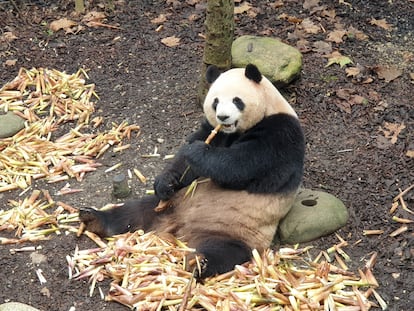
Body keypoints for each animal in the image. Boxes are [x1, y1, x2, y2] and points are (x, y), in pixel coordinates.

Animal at [79, 64, 306, 280]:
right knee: (133, 212)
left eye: (237, 100)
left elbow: (242, 164)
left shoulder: (280, 133)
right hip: (170, 205)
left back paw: (198, 263)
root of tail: (177, 230)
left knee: (223, 250)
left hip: (236, 230)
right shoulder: (215, 131)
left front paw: (196, 152)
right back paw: (94, 218)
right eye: (215, 102)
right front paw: (166, 181)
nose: (223, 117)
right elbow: (187, 161)